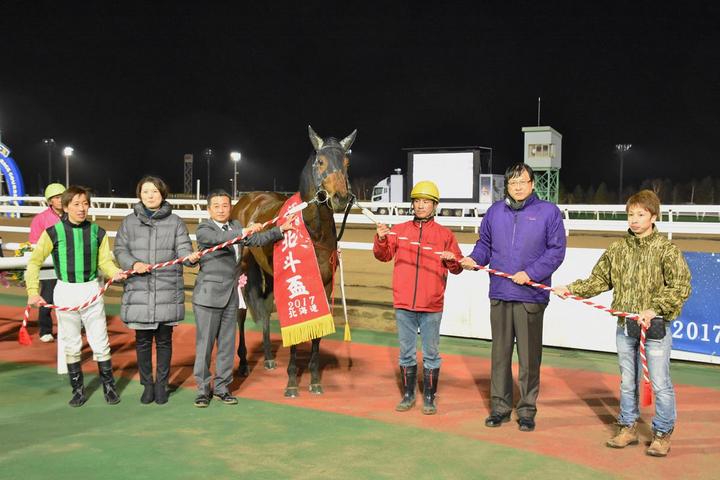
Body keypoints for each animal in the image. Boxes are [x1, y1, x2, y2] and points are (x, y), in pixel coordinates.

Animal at [232, 126, 356, 396]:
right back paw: (244, 362)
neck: (312, 232)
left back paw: (268, 357)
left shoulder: (324, 284)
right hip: (242, 269)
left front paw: (315, 380)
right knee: (240, 312)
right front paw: (291, 382)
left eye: (346, 162)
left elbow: (316, 332)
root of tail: (246, 200)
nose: (340, 197)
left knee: (264, 307)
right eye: (320, 161)